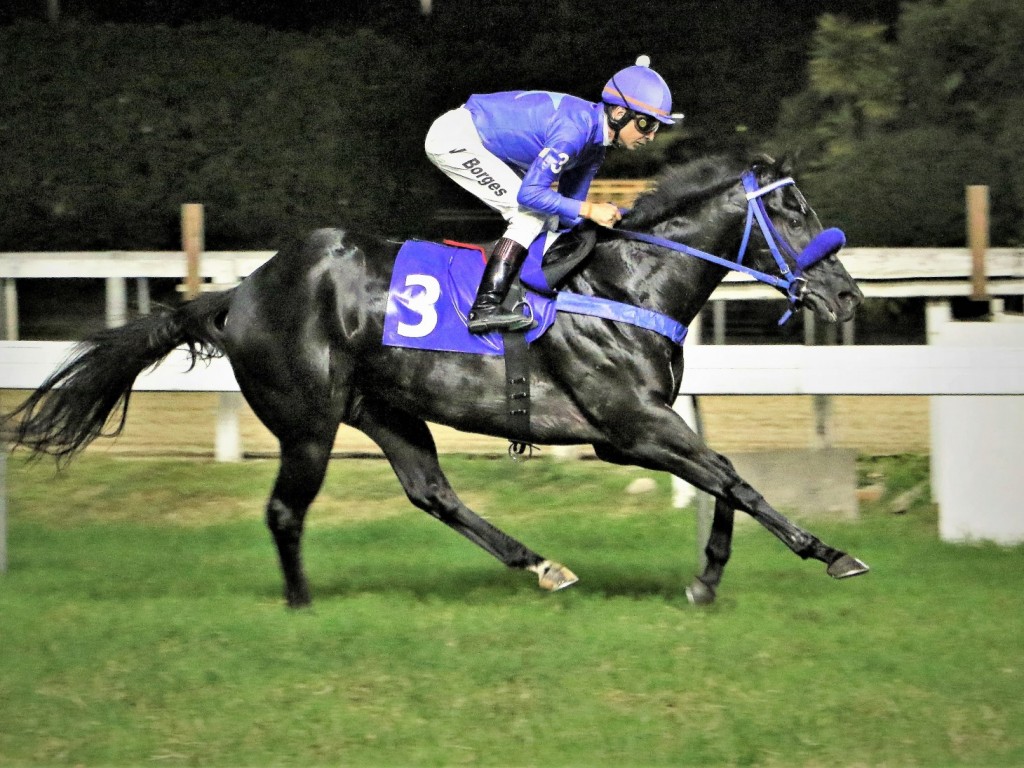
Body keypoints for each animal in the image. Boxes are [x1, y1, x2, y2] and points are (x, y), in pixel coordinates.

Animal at [6, 154, 872, 606]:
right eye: (793, 209)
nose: (848, 296)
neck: (627, 282)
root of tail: (240, 293)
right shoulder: (631, 425)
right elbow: (732, 478)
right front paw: (829, 552)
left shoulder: (636, 433)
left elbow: (722, 483)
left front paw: (707, 579)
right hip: (308, 423)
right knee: (286, 511)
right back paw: (300, 602)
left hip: (386, 409)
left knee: (432, 492)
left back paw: (542, 565)